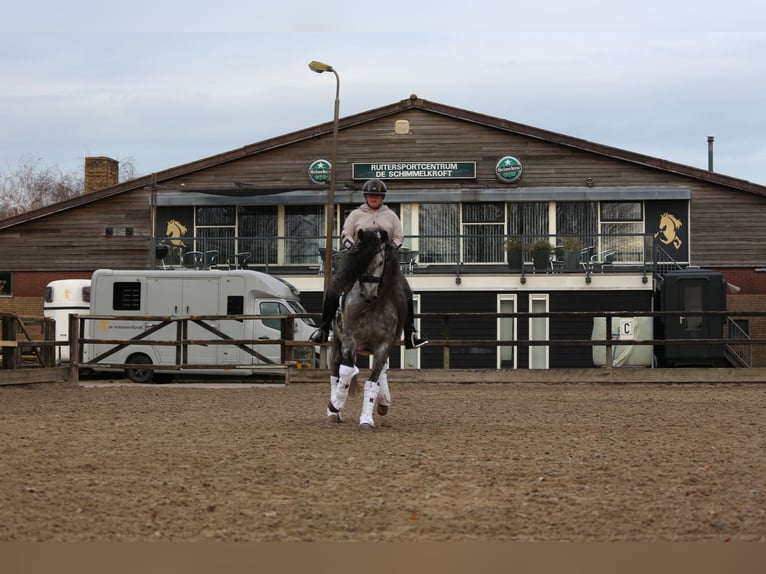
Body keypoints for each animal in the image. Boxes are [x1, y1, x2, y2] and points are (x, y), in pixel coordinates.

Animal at [324, 227, 408, 430]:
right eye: (359, 260)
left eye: (381, 261)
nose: (369, 294)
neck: (371, 307)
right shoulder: (349, 343)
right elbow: (346, 373)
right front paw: (335, 404)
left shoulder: (383, 346)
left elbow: (373, 382)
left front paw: (366, 419)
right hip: (337, 343)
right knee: (336, 372)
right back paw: (334, 413)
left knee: (382, 372)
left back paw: (384, 401)